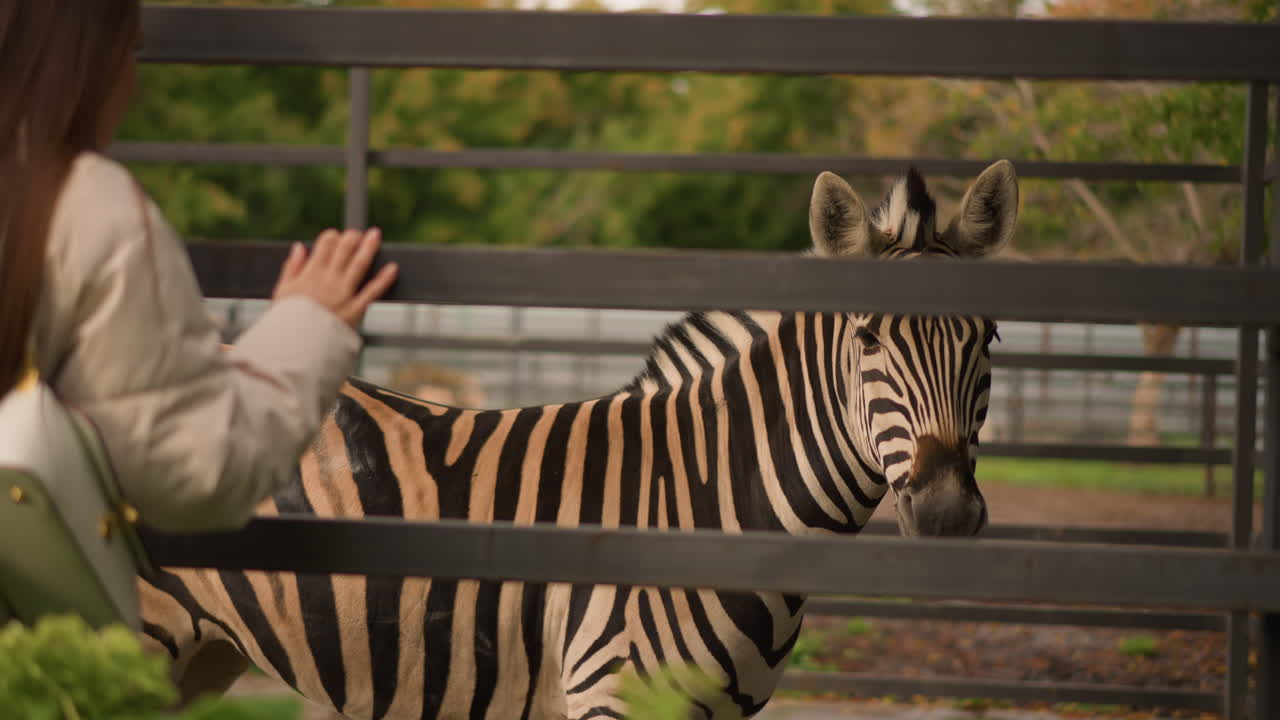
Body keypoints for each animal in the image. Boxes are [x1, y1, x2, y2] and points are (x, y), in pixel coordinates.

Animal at [140, 160, 1019, 720]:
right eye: (867, 340)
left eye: (989, 338)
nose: (946, 514)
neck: (713, 501)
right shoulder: (608, 692)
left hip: (203, 651)